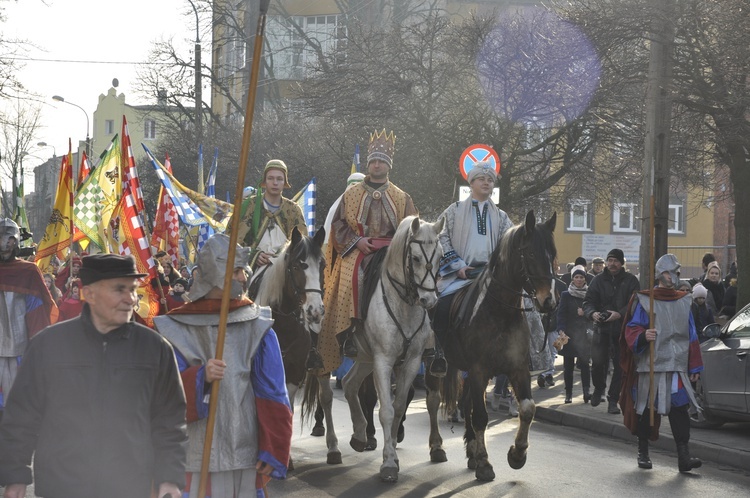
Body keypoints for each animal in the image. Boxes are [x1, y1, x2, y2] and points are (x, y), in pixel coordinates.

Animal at [344, 216, 444, 480]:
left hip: (364, 358)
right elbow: (386, 411)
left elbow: (398, 407)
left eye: (441, 257)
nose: (430, 301)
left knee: (348, 384)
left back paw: (359, 436)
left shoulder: (411, 362)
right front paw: (388, 463)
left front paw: (393, 455)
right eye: (416, 258)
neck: (403, 304)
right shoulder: (383, 360)